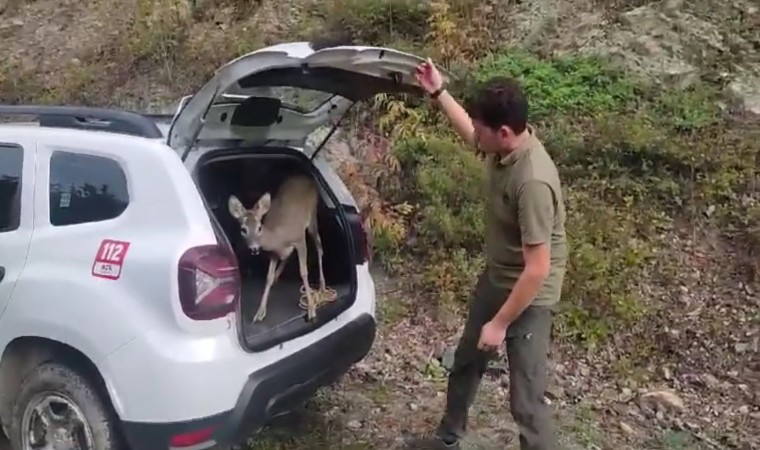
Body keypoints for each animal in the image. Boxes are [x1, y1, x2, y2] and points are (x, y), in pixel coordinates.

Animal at [229, 173, 330, 324]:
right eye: (243, 229)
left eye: (259, 227)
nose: (254, 249)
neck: (278, 236)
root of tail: (305, 177)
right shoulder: (273, 253)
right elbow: (268, 277)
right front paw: (259, 313)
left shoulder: (299, 239)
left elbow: (303, 272)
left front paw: (312, 310)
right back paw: (278, 275)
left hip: (312, 216)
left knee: (319, 246)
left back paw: (322, 286)